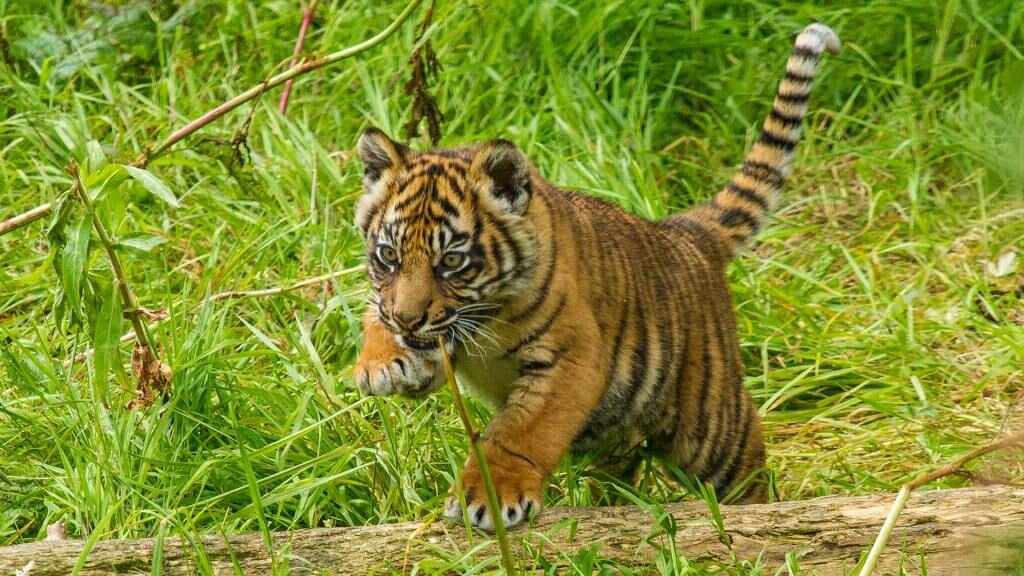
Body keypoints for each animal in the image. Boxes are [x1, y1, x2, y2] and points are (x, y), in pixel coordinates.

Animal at [353, 23, 840, 530]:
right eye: (388, 256)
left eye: (451, 261)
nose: (407, 321)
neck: (484, 318)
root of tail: (684, 232)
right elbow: (376, 313)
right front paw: (382, 363)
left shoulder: (571, 358)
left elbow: (520, 433)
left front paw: (489, 496)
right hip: (618, 431)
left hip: (713, 427)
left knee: (750, 470)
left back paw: (767, 515)